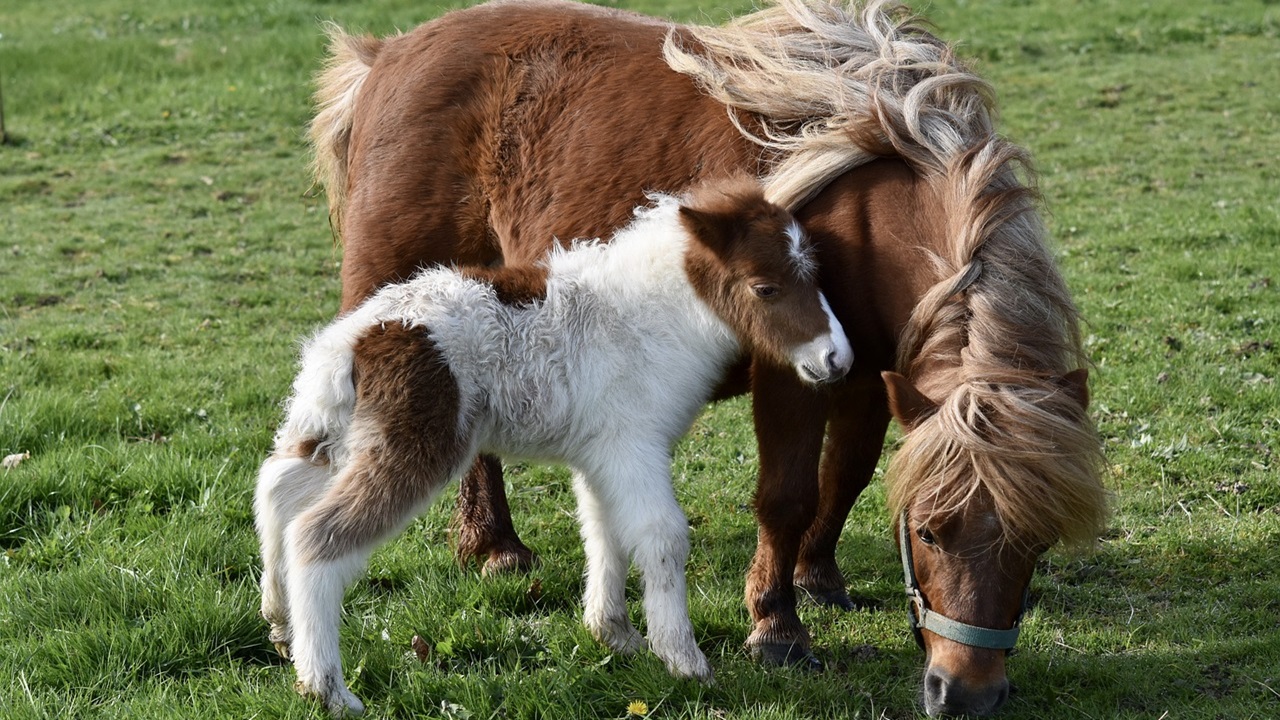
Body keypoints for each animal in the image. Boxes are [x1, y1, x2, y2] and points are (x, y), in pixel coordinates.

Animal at [252, 178, 849, 712]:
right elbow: (662, 537)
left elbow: (604, 532)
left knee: (277, 488)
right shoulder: (635, 446)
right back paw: (327, 688)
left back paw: (280, 625)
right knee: (316, 535)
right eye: (764, 288)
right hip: (417, 445)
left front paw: (615, 635)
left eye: (816, 274)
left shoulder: (601, 456)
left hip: (334, 430)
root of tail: (351, 341)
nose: (837, 359)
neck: (647, 318)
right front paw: (684, 661)